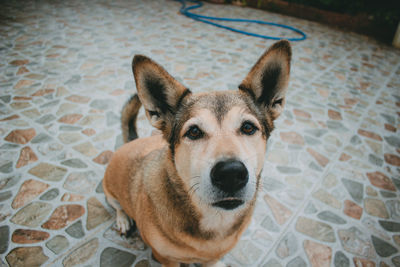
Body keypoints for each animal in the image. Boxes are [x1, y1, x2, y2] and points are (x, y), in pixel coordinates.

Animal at [102, 40, 290, 267]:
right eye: (193, 131)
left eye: (248, 127)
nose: (230, 174)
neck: (212, 218)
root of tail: (131, 142)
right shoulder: (166, 258)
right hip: (109, 191)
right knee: (117, 207)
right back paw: (123, 219)